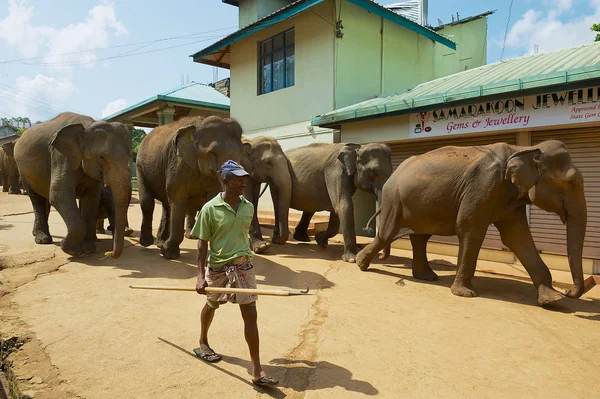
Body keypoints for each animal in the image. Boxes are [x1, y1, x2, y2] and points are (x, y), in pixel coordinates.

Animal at [14, 111, 132, 258]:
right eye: (101, 157)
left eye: (130, 155)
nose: (110, 254)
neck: (87, 126)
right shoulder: (61, 157)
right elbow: (59, 195)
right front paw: (71, 250)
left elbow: (91, 199)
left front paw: (88, 250)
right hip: (23, 172)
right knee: (36, 198)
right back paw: (43, 240)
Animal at [137, 115, 245, 260]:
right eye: (212, 152)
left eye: (241, 152)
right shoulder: (178, 164)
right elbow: (178, 200)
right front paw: (169, 254)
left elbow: (210, 200)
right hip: (140, 168)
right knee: (148, 202)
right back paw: (147, 243)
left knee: (167, 205)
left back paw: (160, 243)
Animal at [356, 141, 584, 306]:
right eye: (570, 182)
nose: (568, 290)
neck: (523, 149)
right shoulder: (484, 184)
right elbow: (469, 228)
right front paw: (466, 294)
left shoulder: (509, 198)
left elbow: (517, 237)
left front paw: (553, 299)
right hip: (394, 200)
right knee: (387, 234)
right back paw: (361, 265)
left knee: (419, 238)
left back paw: (427, 277)